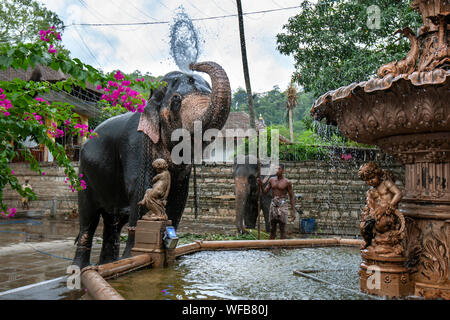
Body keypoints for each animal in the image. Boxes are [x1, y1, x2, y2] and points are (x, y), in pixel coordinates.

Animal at [73, 61, 230, 268]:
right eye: (176, 100)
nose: (192, 64)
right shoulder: (135, 145)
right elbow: (141, 188)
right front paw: (135, 256)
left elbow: (179, 194)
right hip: (84, 174)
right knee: (88, 218)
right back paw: (80, 268)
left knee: (114, 222)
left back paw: (108, 263)